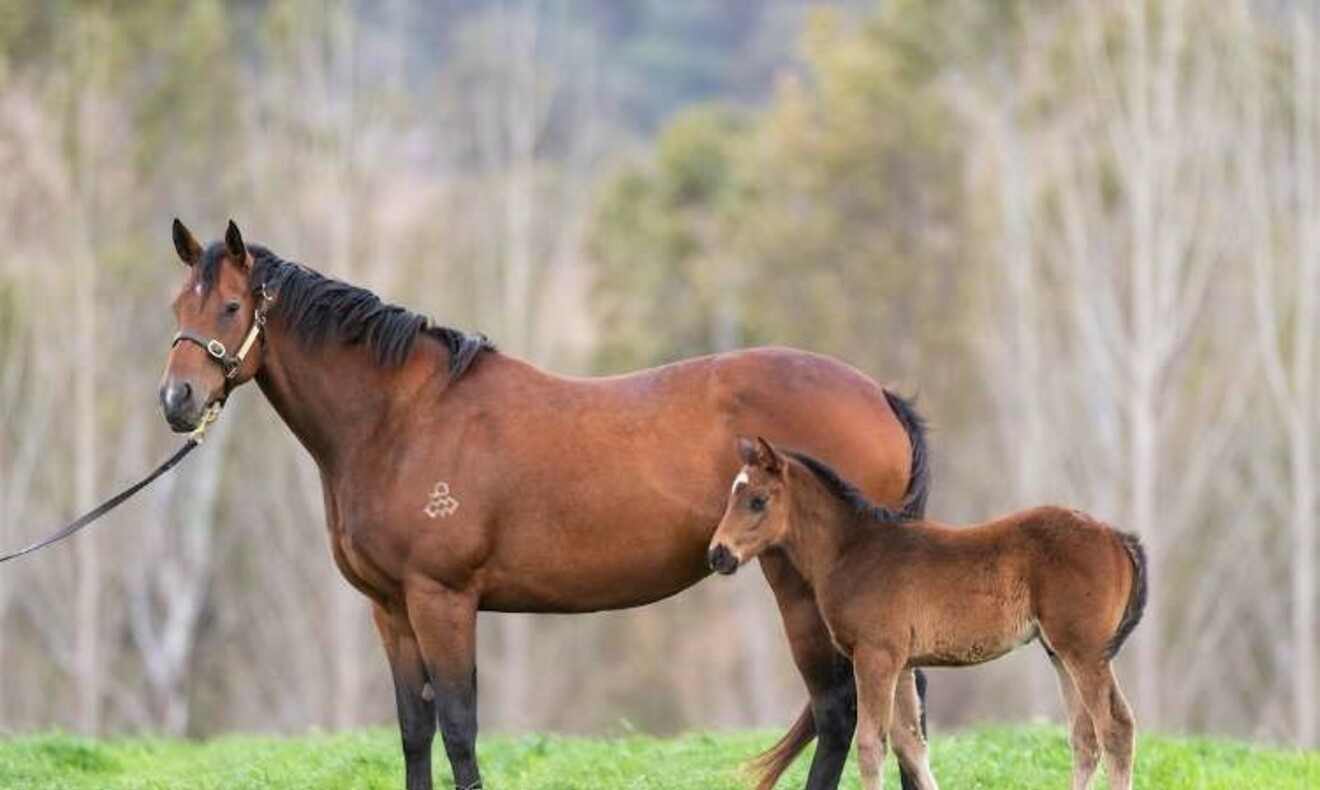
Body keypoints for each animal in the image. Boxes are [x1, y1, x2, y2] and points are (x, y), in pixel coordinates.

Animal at [707, 438, 1151, 790]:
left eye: (758, 500)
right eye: (731, 496)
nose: (718, 554)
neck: (853, 551)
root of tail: (1115, 536)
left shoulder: (876, 656)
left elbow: (871, 744)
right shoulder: (901, 663)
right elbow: (910, 746)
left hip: (1084, 650)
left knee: (1115, 727)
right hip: (1059, 651)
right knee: (1085, 737)